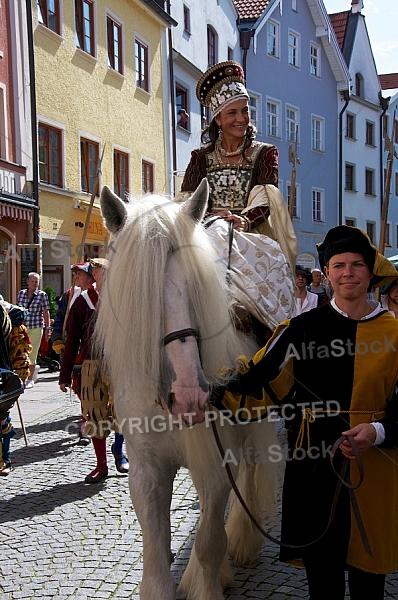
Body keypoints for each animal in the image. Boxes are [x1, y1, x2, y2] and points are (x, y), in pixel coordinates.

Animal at [94, 180, 282, 596]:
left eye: (195, 286)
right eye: (139, 295)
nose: (189, 396)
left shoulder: (216, 464)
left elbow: (210, 541)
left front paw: (208, 578)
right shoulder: (147, 472)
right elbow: (156, 553)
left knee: (248, 474)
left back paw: (243, 541)